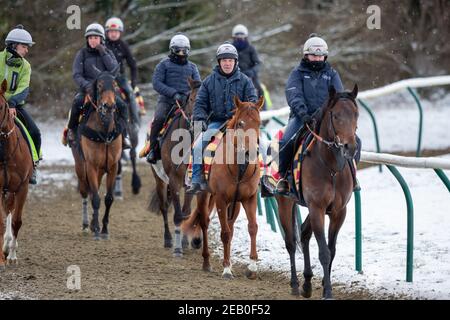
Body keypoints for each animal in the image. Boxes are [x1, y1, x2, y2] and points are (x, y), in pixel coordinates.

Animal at [70, 67, 123, 240]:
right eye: (99, 85)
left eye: (115, 84)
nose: (108, 106)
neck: (104, 133)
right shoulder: (91, 166)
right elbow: (95, 198)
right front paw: (97, 229)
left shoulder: (113, 166)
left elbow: (108, 198)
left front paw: (104, 229)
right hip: (81, 168)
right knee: (85, 193)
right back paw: (87, 225)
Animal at [149, 78, 201, 258]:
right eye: (191, 99)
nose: (196, 121)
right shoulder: (174, 179)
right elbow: (178, 215)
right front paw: (178, 249)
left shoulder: (191, 183)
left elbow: (186, 212)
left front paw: (185, 242)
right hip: (159, 179)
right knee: (164, 207)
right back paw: (168, 239)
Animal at [184, 95, 268, 280]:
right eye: (241, 123)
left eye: (259, 123)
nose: (251, 152)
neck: (239, 168)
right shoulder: (221, 199)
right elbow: (225, 233)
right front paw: (227, 269)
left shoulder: (249, 198)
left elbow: (252, 227)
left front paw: (252, 267)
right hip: (204, 195)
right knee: (205, 223)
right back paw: (207, 262)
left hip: (234, 204)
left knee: (230, 225)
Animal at [274, 85, 358, 300]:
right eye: (336, 116)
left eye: (356, 114)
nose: (350, 147)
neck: (331, 167)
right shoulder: (317, 207)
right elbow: (324, 252)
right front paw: (327, 292)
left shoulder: (338, 211)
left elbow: (331, 249)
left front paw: (323, 284)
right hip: (285, 203)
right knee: (290, 242)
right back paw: (296, 284)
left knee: (304, 233)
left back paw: (307, 283)